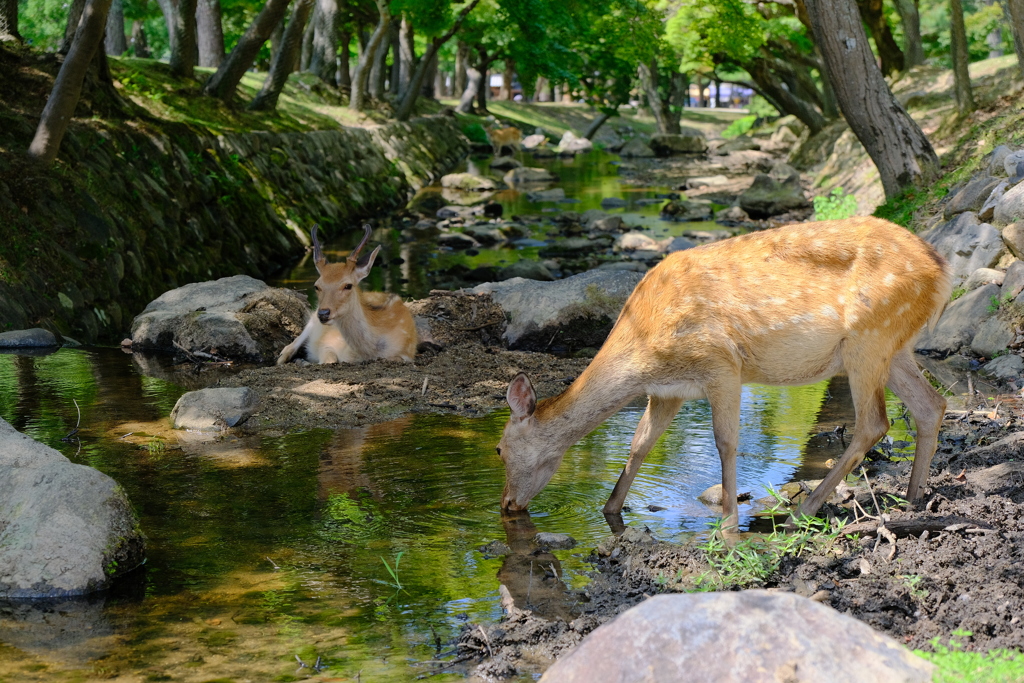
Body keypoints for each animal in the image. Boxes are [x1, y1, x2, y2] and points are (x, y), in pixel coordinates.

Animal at [276, 225, 415, 366]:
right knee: (288, 349)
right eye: (317, 286)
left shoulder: (407, 355)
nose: (323, 313)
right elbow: (329, 359)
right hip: (312, 321)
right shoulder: (327, 342)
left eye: (348, 285)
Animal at [495, 219, 950, 528]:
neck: (643, 344)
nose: (506, 504)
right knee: (932, 404)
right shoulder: (667, 391)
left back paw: (803, 510)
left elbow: (725, 442)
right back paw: (913, 498)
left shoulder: (721, 365)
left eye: (499, 449)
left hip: (869, 338)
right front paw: (610, 509)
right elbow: (640, 444)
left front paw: (729, 521)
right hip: (893, 347)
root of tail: (943, 272)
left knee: (874, 422)